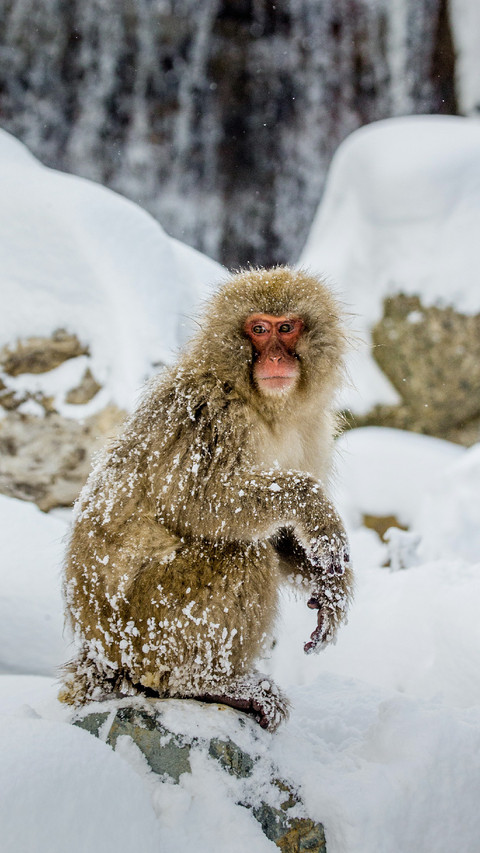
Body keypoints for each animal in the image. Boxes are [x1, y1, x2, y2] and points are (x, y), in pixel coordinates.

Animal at [60, 267, 353, 731]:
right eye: (259, 329)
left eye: (286, 328)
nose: (275, 359)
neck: (265, 407)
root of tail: (99, 654)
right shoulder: (206, 413)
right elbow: (202, 505)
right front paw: (314, 508)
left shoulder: (310, 431)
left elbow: (281, 535)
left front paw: (331, 586)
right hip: (148, 627)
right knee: (239, 554)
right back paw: (208, 684)